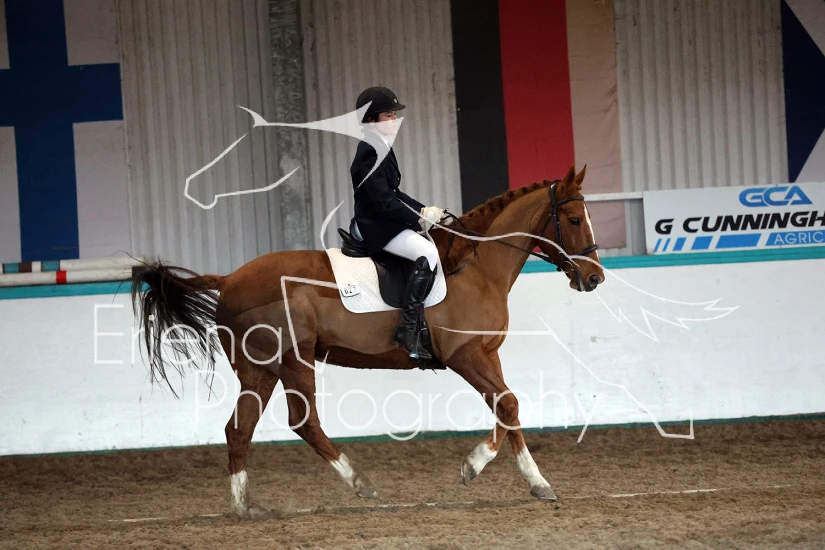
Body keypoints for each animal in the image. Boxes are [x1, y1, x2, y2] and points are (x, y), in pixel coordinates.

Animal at [131, 164, 604, 518]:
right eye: (574, 220)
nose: (595, 277)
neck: (476, 266)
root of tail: (229, 278)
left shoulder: (488, 354)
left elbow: (509, 409)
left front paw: (538, 483)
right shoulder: (466, 356)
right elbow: (507, 404)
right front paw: (473, 466)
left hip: (259, 369)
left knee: (238, 428)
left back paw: (246, 508)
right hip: (294, 360)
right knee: (303, 421)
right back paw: (359, 483)